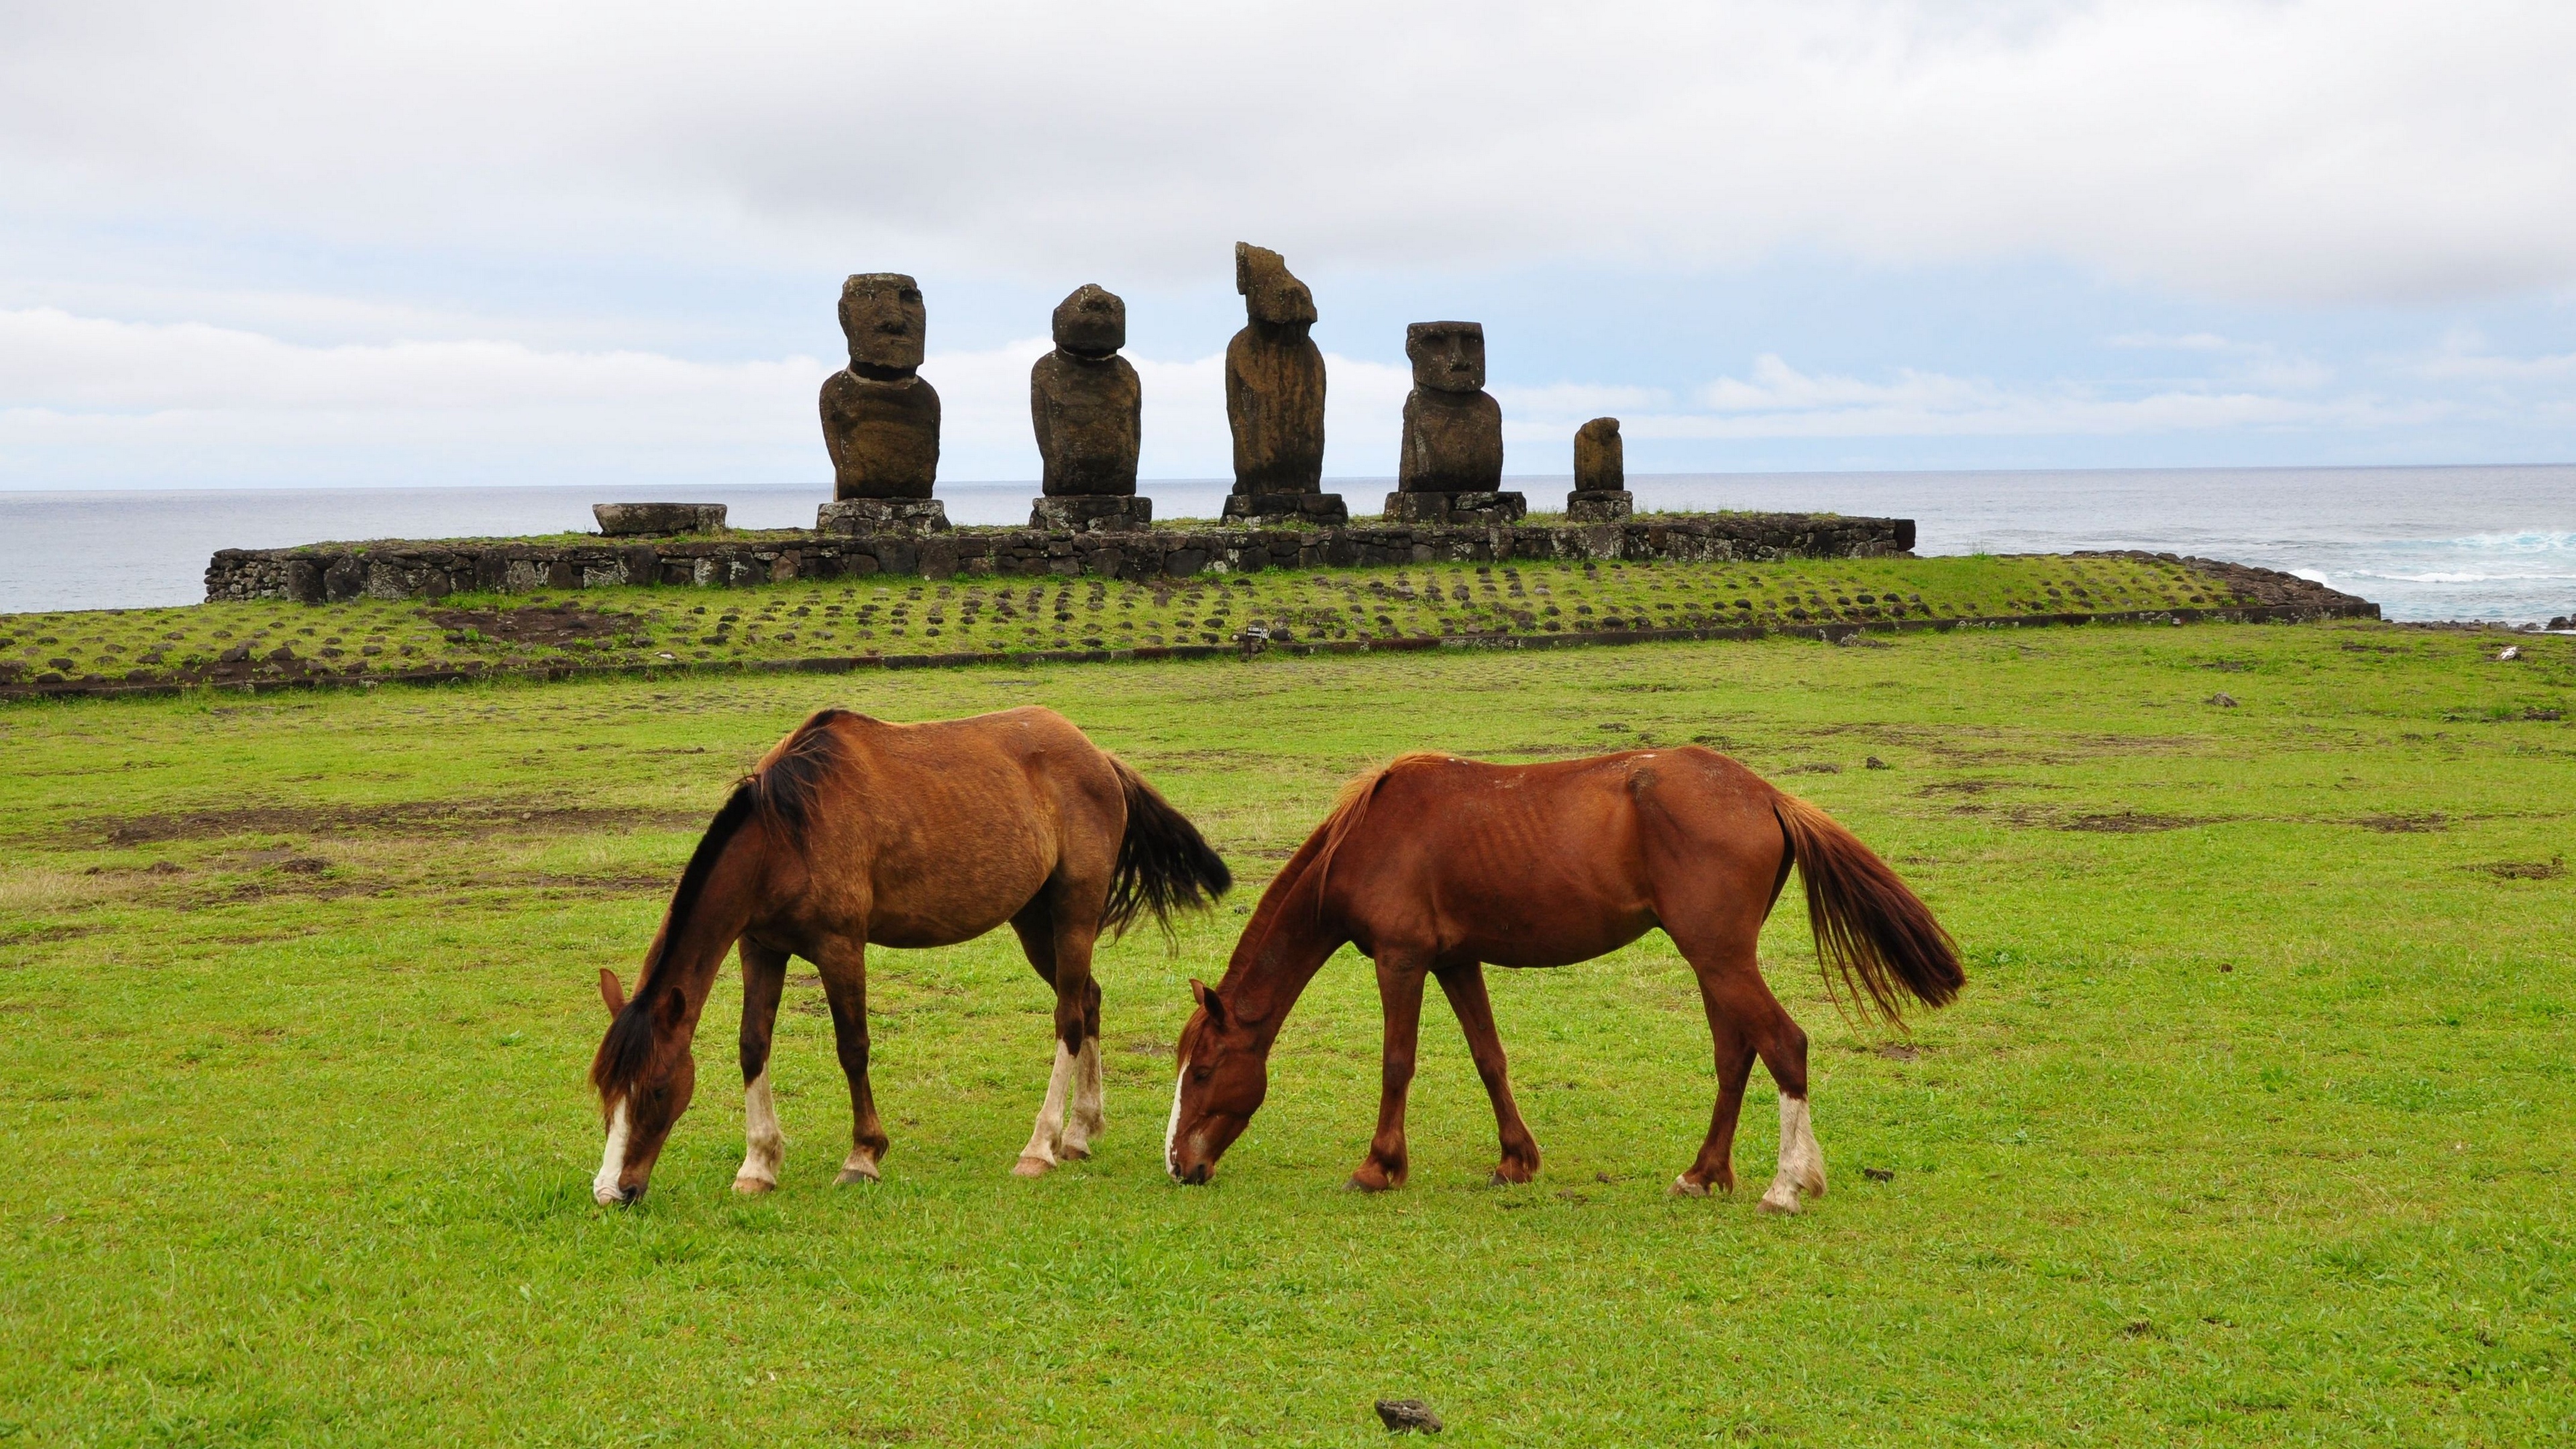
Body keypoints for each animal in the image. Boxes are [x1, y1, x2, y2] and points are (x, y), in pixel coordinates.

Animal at [590, 706, 1226, 1201]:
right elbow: (753, 1046)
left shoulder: (840, 947)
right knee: (1088, 999)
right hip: (1033, 920)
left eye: (655, 1089)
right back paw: (1080, 1132)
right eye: (606, 1090)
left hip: (1074, 911)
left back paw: (1041, 1146)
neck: (786, 832)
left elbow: (853, 1048)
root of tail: (1098, 756)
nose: (612, 1191)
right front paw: (759, 1165)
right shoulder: (760, 948)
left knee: (1069, 1017)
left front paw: (863, 1156)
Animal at [1159, 742, 1957, 1206]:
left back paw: (1788, 1185)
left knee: (1785, 1045)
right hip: (1715, 962)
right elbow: (1489, 1058)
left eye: (1204, 1071)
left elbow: (1397, 1063)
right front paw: (1516, 1160)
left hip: (1720, 958)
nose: (1177, 1165)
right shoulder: (1455, 960)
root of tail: (1765, 793)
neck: (1371, 835)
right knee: (1736, 1056)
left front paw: (1378, 1167)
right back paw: (1705, 1173)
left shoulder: (1402, 959)